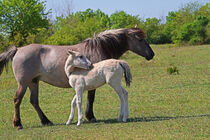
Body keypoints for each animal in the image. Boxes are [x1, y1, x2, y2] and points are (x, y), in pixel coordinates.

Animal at [0, 27, 154, 129]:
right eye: (140, 39)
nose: (151, 54)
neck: (98, 48)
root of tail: (18, 50)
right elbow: (90, 99)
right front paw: (90, 117)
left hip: (33, 82)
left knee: (34, 101)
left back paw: (46, 121)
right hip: (23, 83)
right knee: (17, 100)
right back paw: (18, 124)